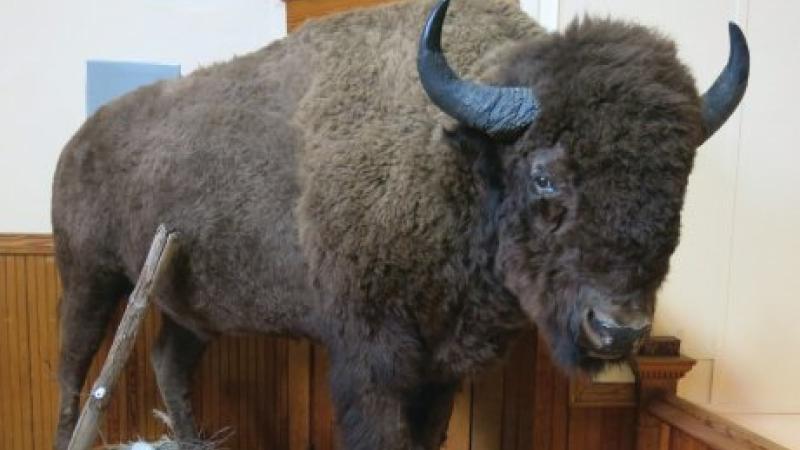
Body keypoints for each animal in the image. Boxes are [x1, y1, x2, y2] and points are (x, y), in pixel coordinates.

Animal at [51, 0, 749, 449]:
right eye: (544, 173)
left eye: (679, 176)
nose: (618, 328)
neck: (452, 155)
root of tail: (81, 137)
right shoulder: (373, 359)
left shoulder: (443, 367)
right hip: (90, 279)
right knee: (74, 367)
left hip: (190, 308)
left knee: (170, 361)